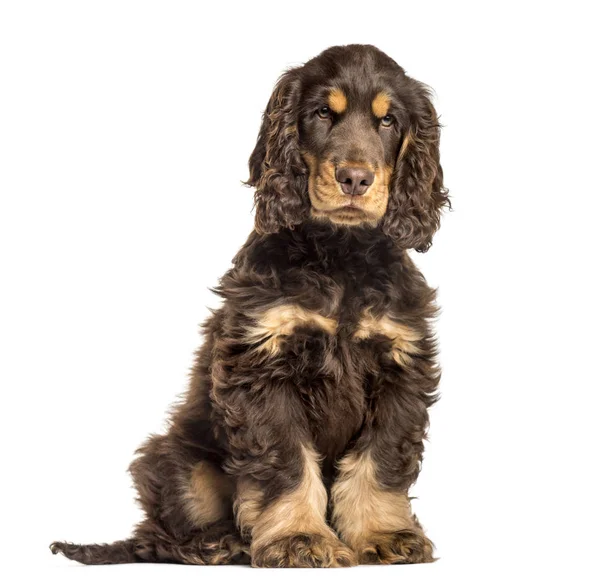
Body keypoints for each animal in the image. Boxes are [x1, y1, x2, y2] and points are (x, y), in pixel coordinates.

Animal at [51, 43, 450, 568]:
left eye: (389, 121)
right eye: (323, 113)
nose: (355, 179)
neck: (340, 256)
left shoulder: (399, 363)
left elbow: (379, 460)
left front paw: (386, 535)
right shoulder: (261, 367)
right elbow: (286, 463)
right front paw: (299, 538)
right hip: (179, 460)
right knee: (161, 534)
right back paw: (220, 544)